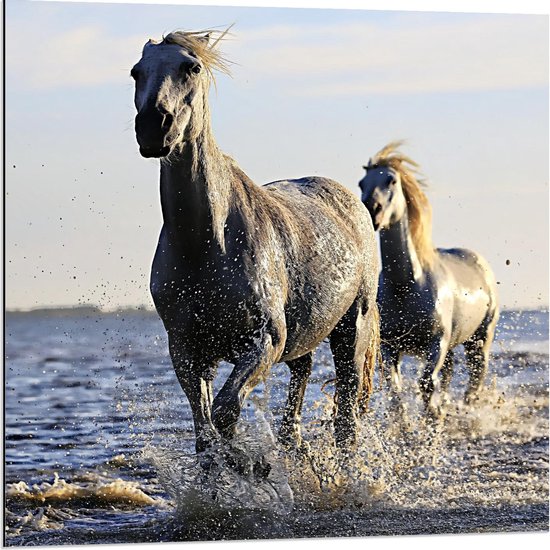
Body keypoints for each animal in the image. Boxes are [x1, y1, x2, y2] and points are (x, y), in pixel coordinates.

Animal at [130, 28, 380, 472]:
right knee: (300, 385)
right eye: (135, 71)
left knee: (347, 417)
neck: (206, 244)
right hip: (305, 337)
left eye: (191, 67)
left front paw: (250, 467)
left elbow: (226, 413)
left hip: (352, 331)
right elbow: (206, 433)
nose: (153, 127)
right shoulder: (188, 352)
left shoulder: (264, 341)